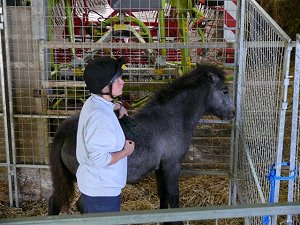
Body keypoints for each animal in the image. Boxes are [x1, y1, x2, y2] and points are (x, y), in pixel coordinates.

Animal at [48, 63, 236, 225]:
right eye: (225, 91)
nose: (232, 113)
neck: (170, 119)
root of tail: (65, 131)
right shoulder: (172, 166)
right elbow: (173, 198)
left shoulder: (161, 169)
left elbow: (163, 197)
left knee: (55, 201)